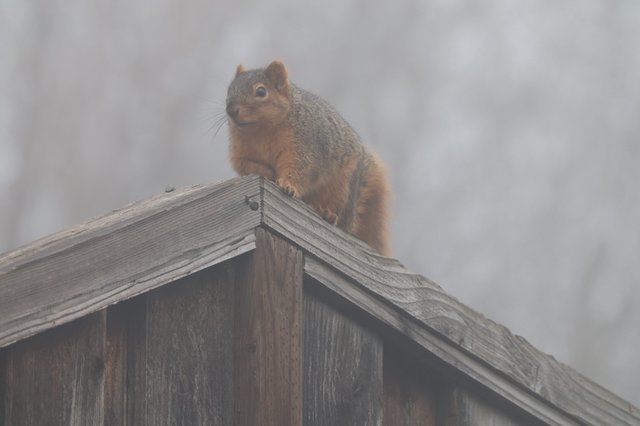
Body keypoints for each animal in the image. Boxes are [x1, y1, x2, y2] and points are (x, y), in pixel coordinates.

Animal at [226, 60, 391, 256]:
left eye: (261, 91)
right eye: (229, 89)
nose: (231, 110)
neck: (259, 131)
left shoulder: (305, 146)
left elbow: (301, 169)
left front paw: (288, 186)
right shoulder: (240, 153)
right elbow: (245, 166)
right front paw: (267, 172)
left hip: (343, 189)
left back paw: (329, 214)